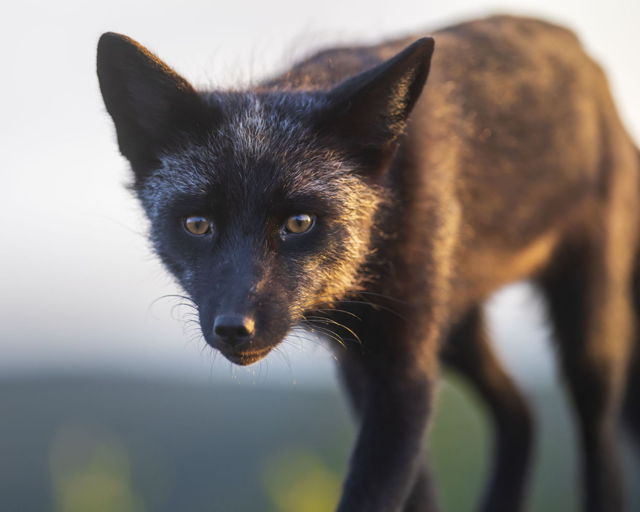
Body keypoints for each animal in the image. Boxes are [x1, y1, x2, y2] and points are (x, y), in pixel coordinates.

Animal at [97, 14, 640, 512]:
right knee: (521, 412)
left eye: (299, 222)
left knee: (600, 447)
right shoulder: (360, 361)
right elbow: (417, 494)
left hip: (585, 334)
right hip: (456, 329)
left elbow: (375, 494)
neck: (380, 230)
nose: (235, 328)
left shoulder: (402, 374)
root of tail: (584, 57)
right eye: (197, 224)